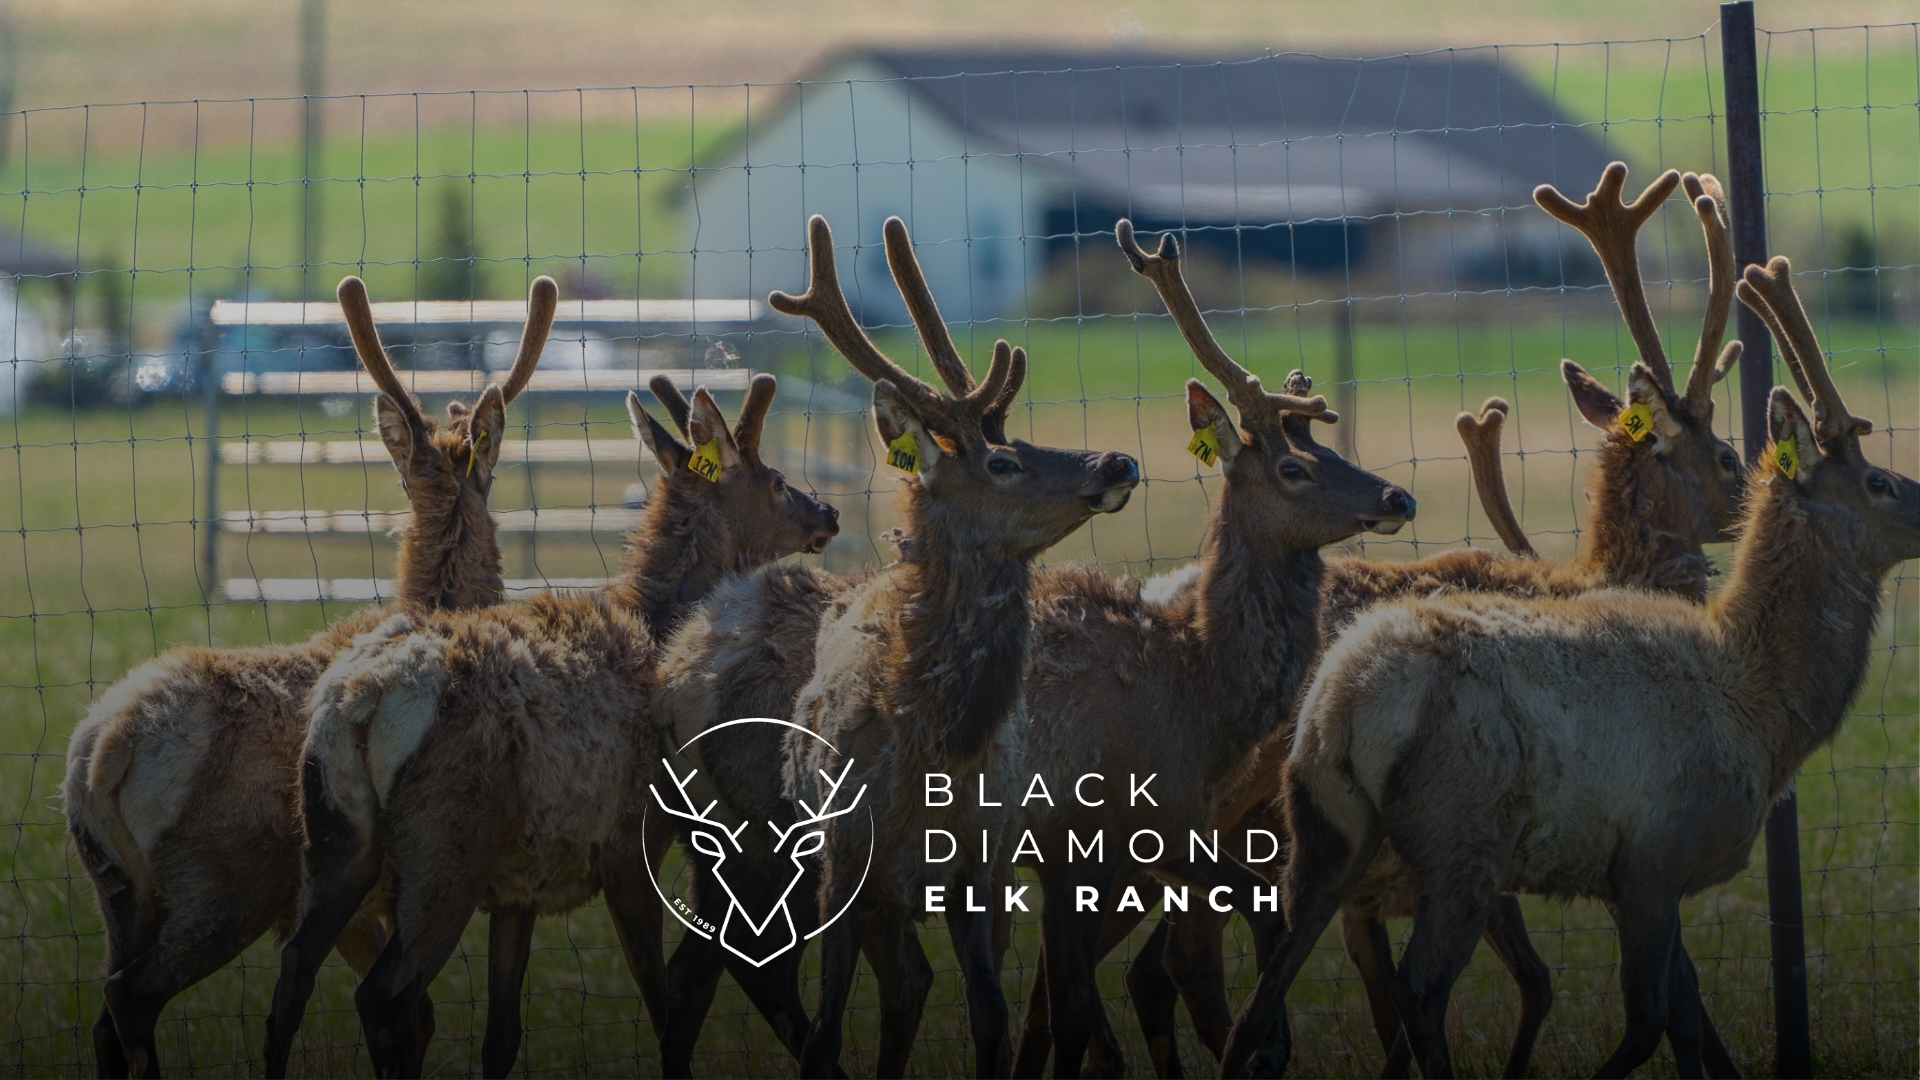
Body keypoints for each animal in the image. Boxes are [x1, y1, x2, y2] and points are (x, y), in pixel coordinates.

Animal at [61, 274, 557, 1079]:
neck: (433, 603)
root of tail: (100, 758)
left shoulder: (348, 905)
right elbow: (409, 1015)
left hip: (115, 890)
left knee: (105, 1012)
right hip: (223, 882)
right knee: (131, 998)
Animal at [258, 371, 841, 1078]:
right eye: (778, 481)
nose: (829, 513)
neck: (655, 629)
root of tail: (357, 703)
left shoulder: (519, 888)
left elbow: (503, 1036)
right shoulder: (631, 838)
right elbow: (663, 1003)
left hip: (334, 839)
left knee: (292, 973)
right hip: (446, 847)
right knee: (383, 996)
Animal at [643, 212, 1141, 1080]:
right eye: (1002, 461)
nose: (1118, 460)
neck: (930, 750)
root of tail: (684, 634)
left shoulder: (978, 864)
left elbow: (988, 1015)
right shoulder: (842, 857)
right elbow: (824, 1032)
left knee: (888, 980)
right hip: (734, 840)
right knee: (712, 971)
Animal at [1015, 162, 1751, 1080]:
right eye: (1721, 452)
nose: (1756, 489)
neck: (1602, 579)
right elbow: (1656, 987)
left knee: (1086, 970)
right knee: (1157, 963)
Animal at [1218, 254, 1920, 1080]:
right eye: (1880, 482)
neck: (1765, 713)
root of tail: (1340, 702)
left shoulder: (1644, 874)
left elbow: (1684, 1020)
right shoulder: (1653, 855)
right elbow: (1653, 1018)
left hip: (1327, 832)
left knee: (1263, 989)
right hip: (1461, 836)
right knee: (1418, 989)